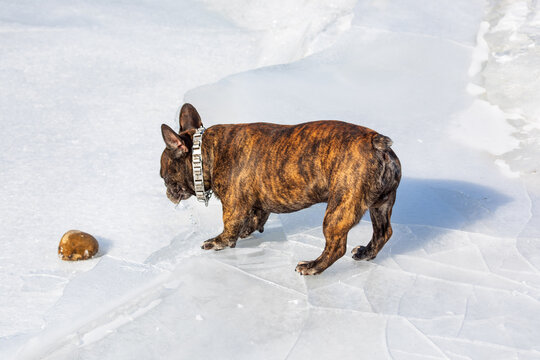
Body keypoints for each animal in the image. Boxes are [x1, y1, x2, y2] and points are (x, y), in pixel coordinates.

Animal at [160, 102, 400, 274]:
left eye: (164, 177)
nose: (167, 193)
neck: (205, 151)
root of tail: (377, 143)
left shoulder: (233, 205)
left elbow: (229, 230)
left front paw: (216, 242)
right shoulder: (256, 203)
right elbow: (255, 217)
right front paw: (248, 230)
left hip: (340, 209)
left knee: (336, 247)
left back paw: (313, 266)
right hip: (381, 204)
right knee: (383, 232)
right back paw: (366, 253)